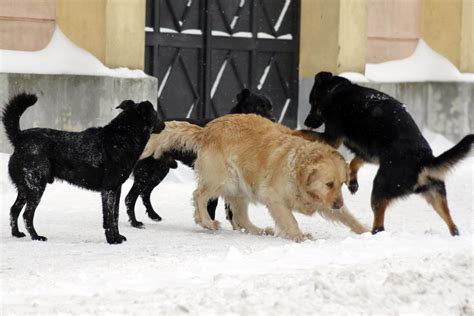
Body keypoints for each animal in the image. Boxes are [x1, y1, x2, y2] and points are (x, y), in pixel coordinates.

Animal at [1, 94, 161, 244]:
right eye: (155, 113)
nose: (164, 125)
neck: (122, 137)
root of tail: (20, 137)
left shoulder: (116, 189)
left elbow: (114, 216)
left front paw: (117, 237)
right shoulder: (109, 189)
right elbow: (109, 217)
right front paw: (112, 240)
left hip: (25, 188)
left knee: (14, 210)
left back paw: (16, 234)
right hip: (36, 187)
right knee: (27, 215)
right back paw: (36, 237)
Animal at [124, 89, 276, 227]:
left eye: (270, 107)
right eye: (258, 106)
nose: (274, 120)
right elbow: (212, 204)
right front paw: (210, 222)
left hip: (159, 171)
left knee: (145, 194)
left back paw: (153, 215)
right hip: (146, 172)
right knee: (130, 197)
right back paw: (135, 222)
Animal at [304, 71, 474, 235]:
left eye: (312, 103)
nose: (306, 122)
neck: (336, 90)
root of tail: (424, 160)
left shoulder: (332, 138)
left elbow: (305, 133)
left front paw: (298, 131)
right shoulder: (368, 153)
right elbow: (354, 162)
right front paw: (352, 182)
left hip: (380, 188)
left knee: (379, 225)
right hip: (436, 196)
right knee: (453, 226)